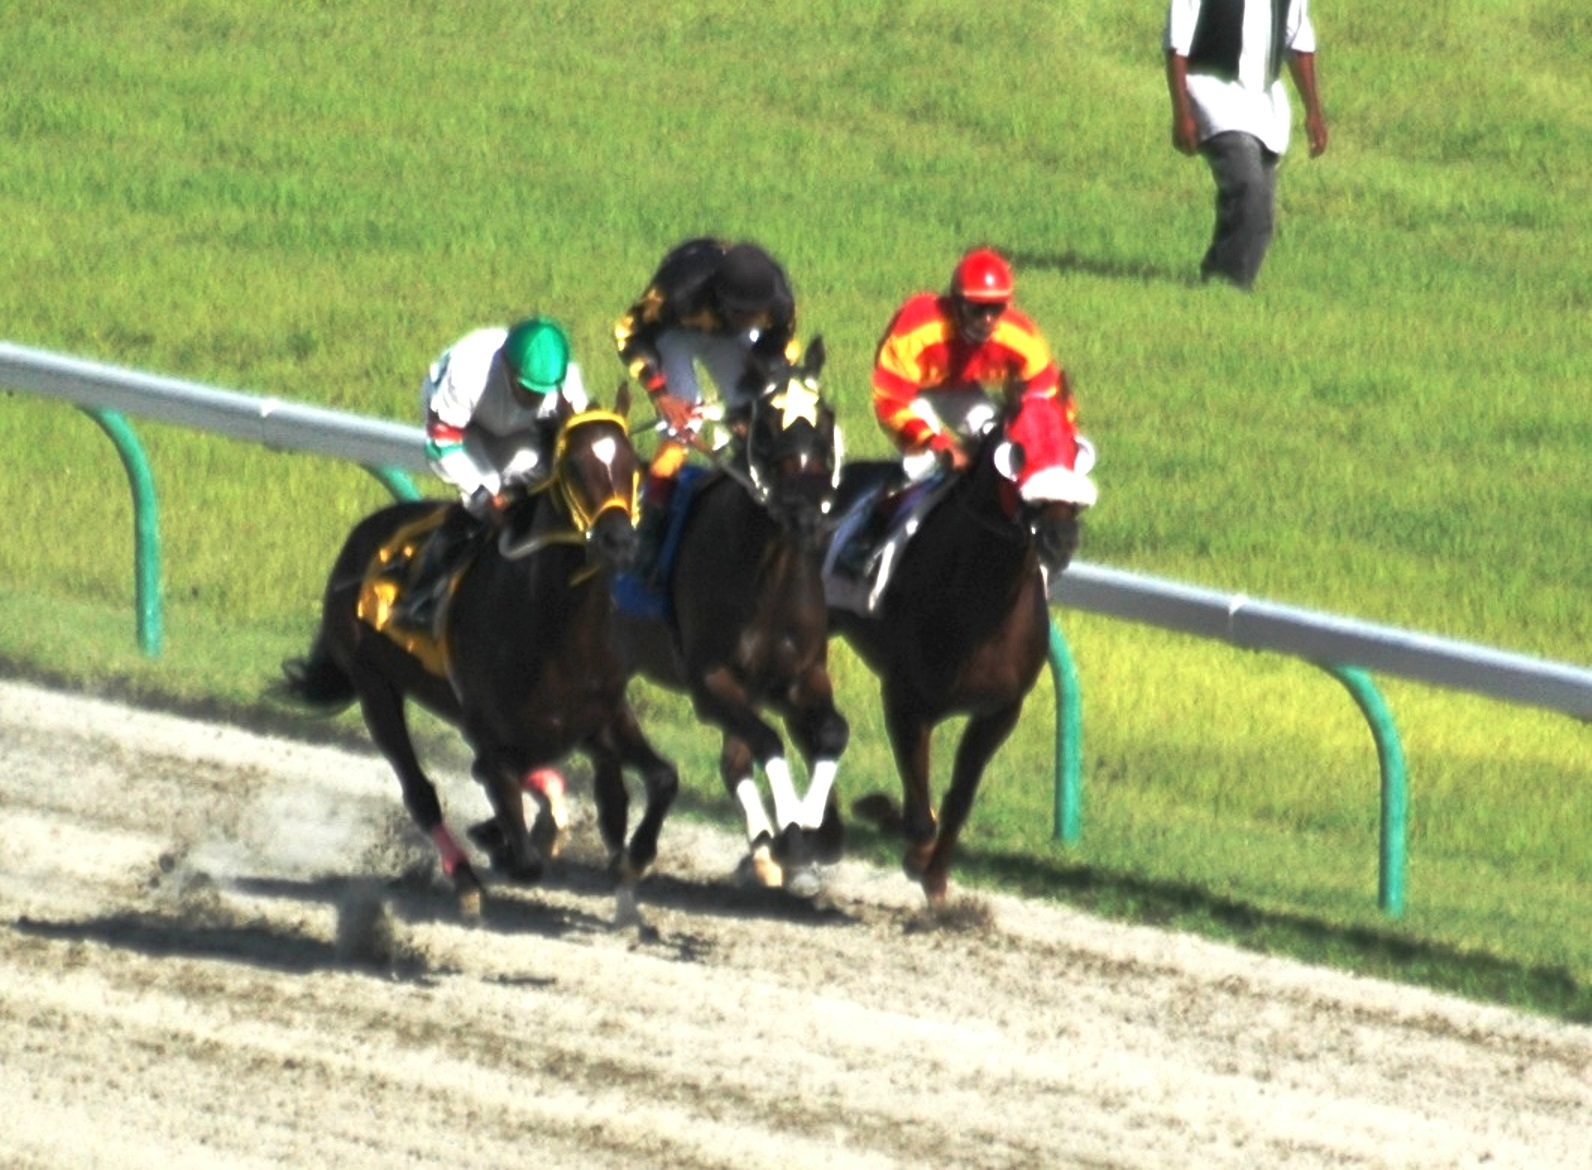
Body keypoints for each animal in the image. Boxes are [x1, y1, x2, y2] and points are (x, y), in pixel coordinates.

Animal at [280, 393, 678, 916]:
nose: (620, 543)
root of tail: (362, 536)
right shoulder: (492, 730)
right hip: (374, 686)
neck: (552, 623)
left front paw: (631, 856)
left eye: (632, 463)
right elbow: (518, 840)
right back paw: (466, 876)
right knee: (421, 793)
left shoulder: (603, 717)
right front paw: (503, 842)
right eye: (574, 467)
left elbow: (663, 778)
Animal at [614, 339, 853, 897]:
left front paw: (809, 830)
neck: (767, 571)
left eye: (826, 418)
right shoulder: (711, 682)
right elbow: (766, 741)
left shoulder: (801, 676)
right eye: (766, 428)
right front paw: (793, 832)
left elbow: (831, 733)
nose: (805, 512)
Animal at [821, 391, 1095, 904]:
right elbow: (917, 812)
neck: (981, 605)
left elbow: (958, 799)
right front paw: (889, 824)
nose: (1061, 539)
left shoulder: (999, 711)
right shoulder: (906, 702)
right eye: (1018, 453)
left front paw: (935, 875)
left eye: (1074, 451)